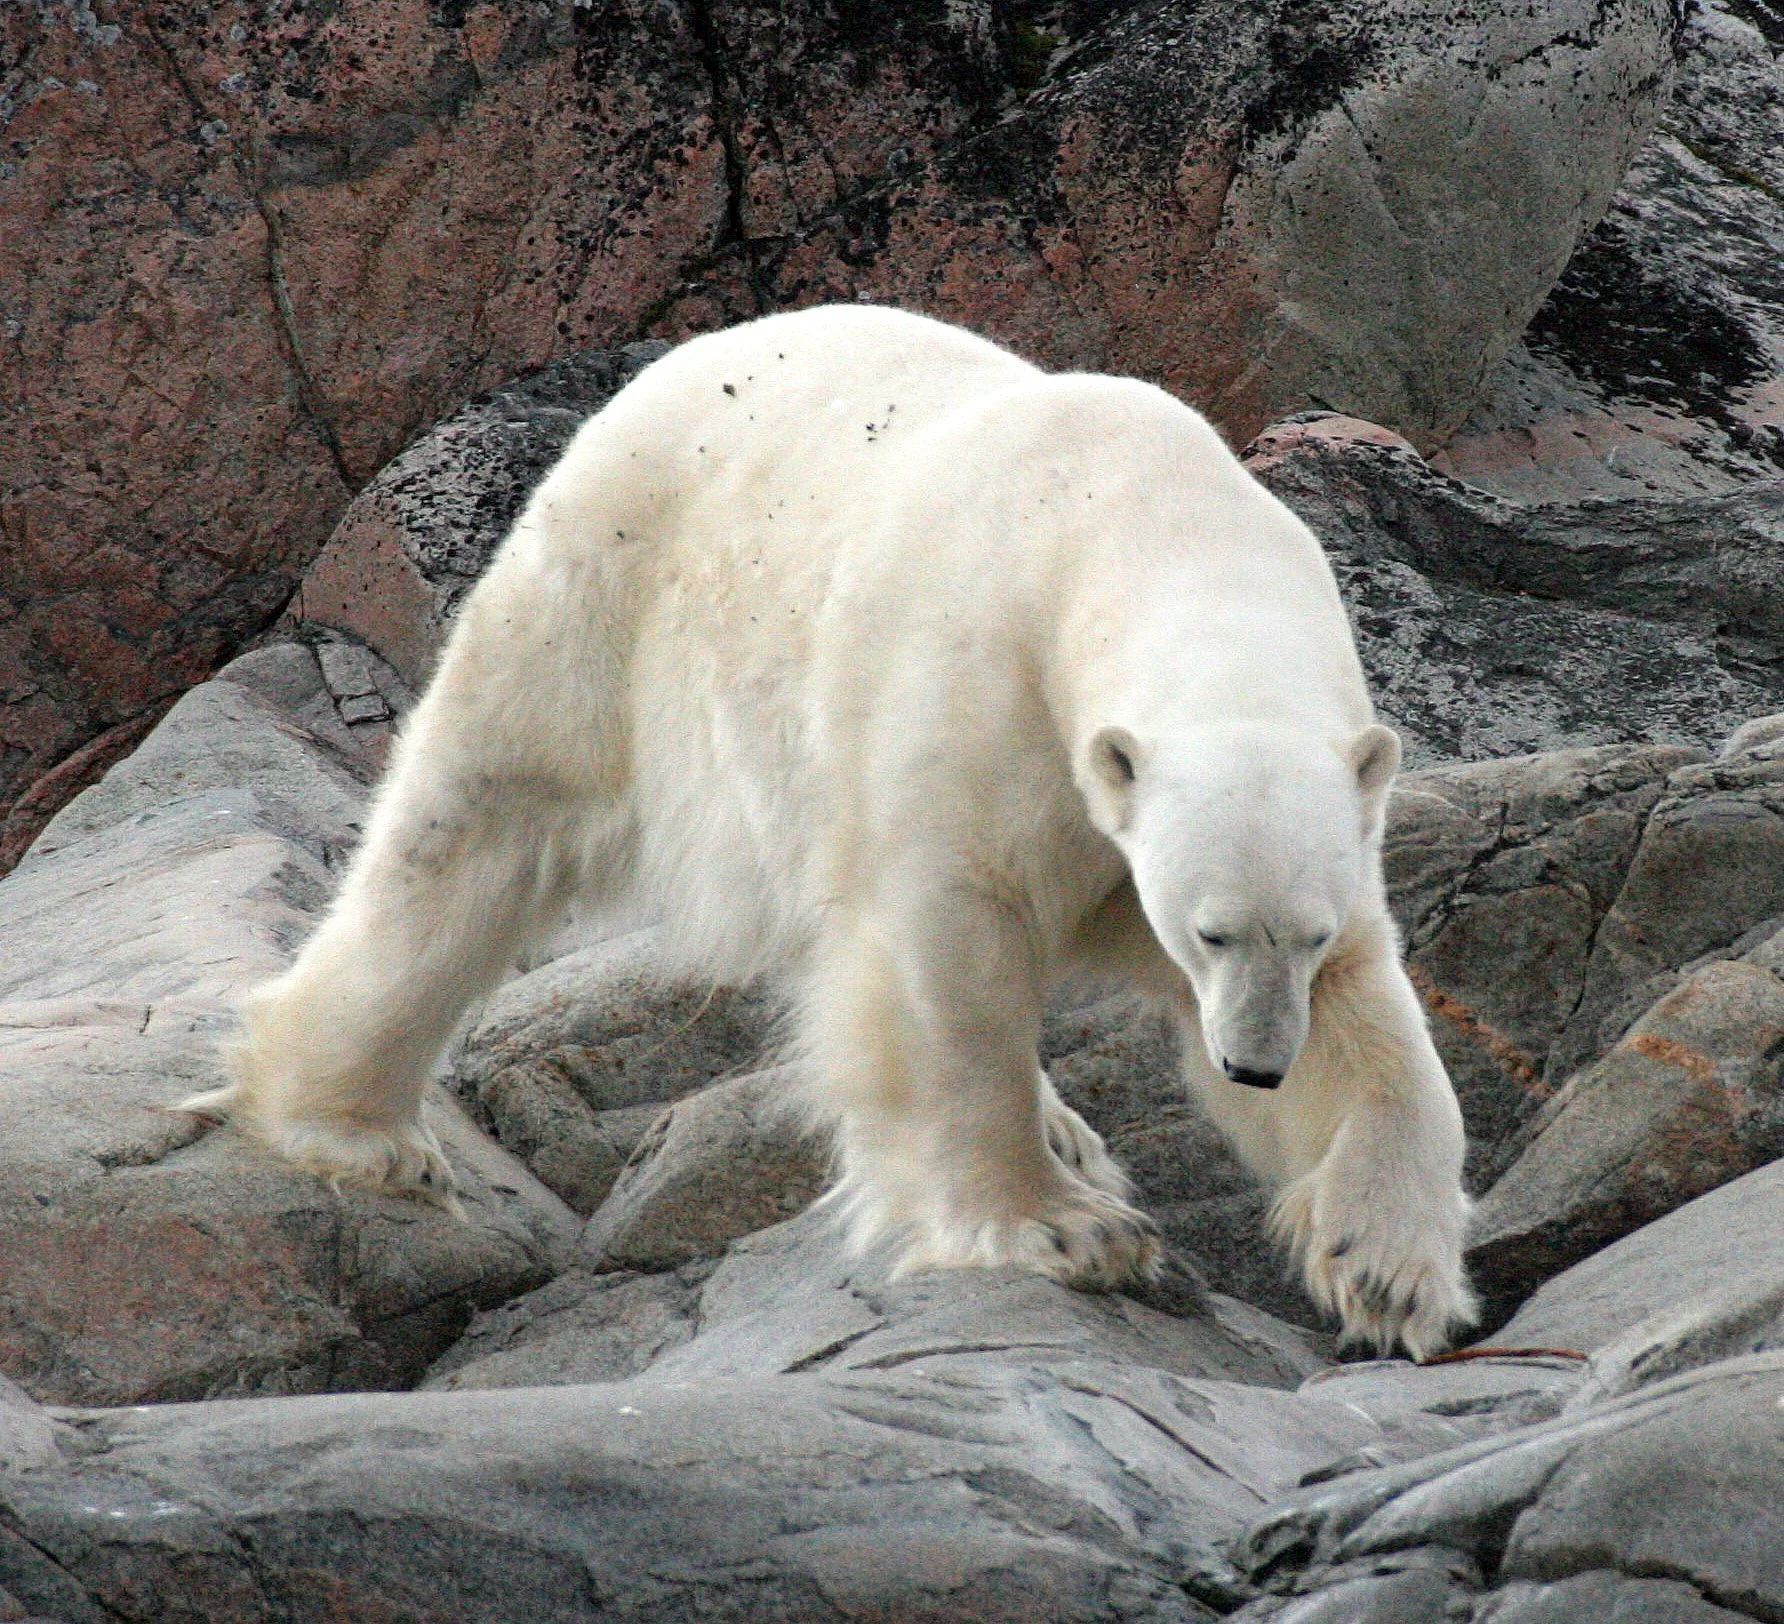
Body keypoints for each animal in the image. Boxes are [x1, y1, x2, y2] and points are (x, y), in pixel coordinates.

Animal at [183, 303, 1477, 1358]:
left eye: (1302, 936)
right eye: (1206, 931)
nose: (1252, 1061)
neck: (1153, 529)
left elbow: (1379, 1031)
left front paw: (1390, 1270)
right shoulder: (980, 692)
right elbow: (949, 949)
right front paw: (1058, 1229)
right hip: (611, 594)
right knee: (479, 830)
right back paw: (352, 1126)